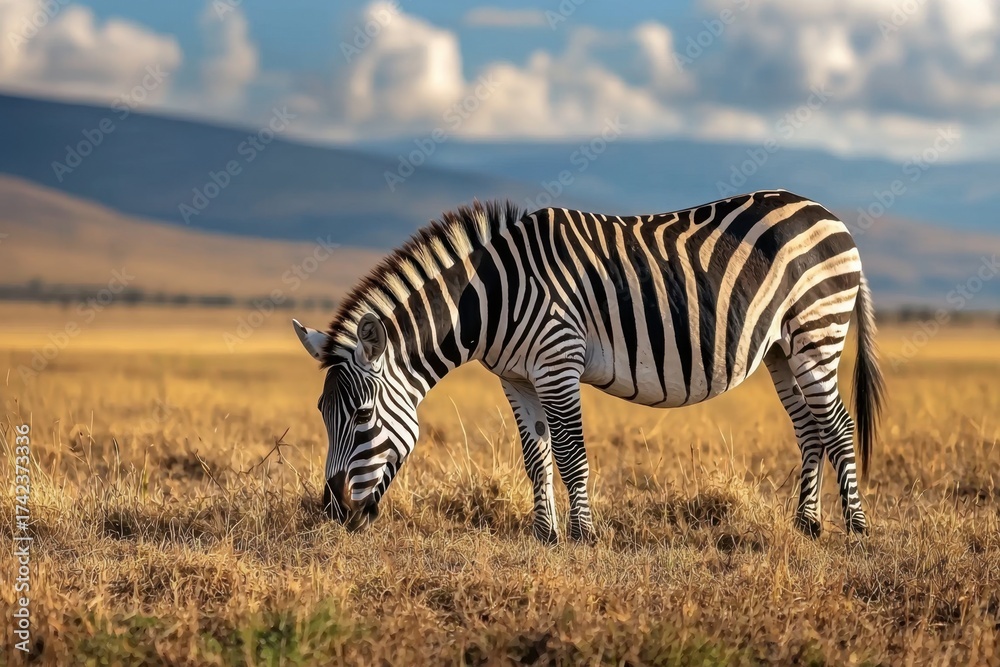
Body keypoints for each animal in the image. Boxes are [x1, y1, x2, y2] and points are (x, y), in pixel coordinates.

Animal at [293, 190, 885, 543]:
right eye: (321, 413)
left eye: (362, 416)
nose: (332, 511)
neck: (489, 297)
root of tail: (830, 216)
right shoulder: (516, 377)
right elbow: (536, 457)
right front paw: (545, 533)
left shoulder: (558, 359)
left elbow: (571, 453)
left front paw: (583, 534)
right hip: (783, 349)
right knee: (810, 429)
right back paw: (807, 523)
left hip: (816, 330)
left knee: (839, 426)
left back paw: (856, 529)